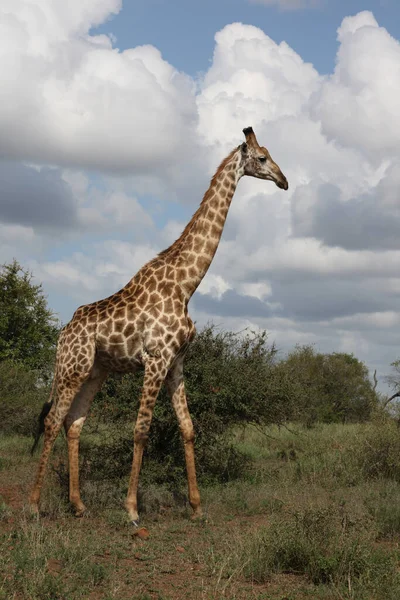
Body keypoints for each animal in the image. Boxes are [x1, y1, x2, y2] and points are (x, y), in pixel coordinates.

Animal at [30, 127, 288, 524]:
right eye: (262, 158)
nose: (283, 181)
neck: (185, 284)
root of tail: (62, 335)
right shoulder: (155, 359)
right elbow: (141, 431)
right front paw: (132, 510)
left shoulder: (177, 361)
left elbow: (188, 427)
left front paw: (196, 507)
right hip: (72, 369)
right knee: (52, 421)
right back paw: (33, 505)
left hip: (95, 371)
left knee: (74, 423)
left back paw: (78, 505)